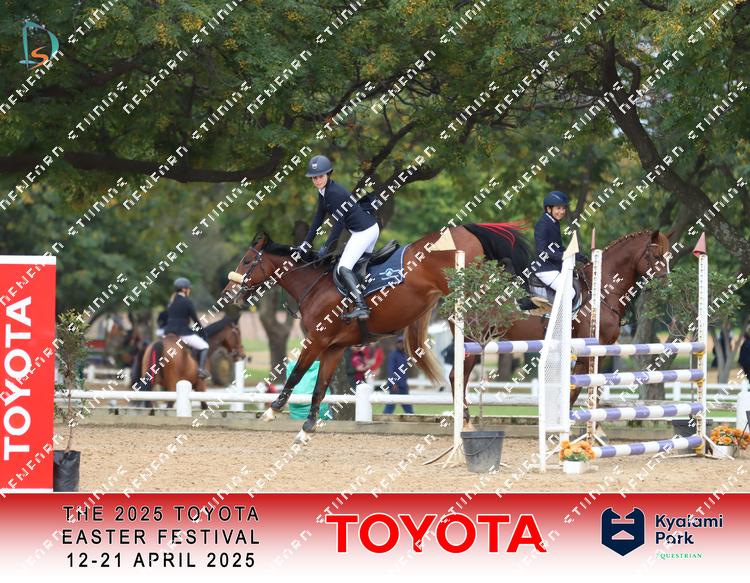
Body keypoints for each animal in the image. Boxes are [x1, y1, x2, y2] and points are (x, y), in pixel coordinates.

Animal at [221, 224, 530, 443]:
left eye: (246, 261)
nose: (227, 293)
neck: (315, 285)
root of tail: (464, 229)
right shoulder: (334, 347)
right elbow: (320, 386)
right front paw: (306, 428)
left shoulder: (316, 340)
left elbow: (296, 373)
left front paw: (272, 410)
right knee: (464, 363)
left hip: (470, 293)